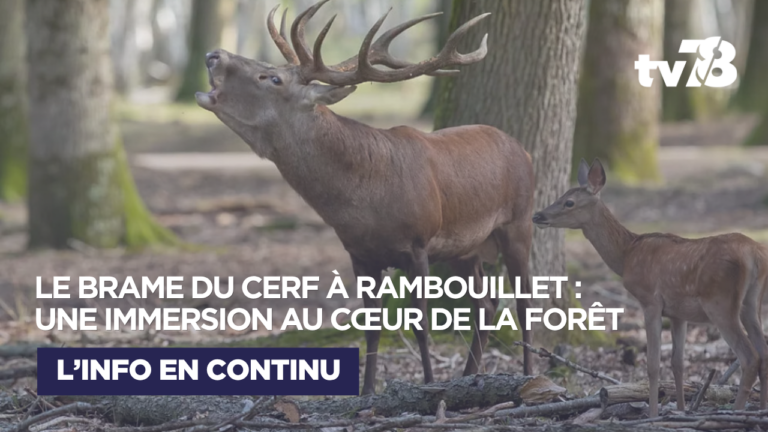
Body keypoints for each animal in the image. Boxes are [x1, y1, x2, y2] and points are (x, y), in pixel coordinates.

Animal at [194, 0, 535, 395]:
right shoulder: (359, 254)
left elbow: (420, 324)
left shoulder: (418, 243)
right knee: (487, 304)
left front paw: (429, 387)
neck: (361, 206)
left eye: (273, 78)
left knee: (524, 303)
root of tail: (524, 151)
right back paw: (469, 377)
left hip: (519, 223)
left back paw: (528, 375)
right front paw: (367, 392)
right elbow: (371, 327)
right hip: (466, 250)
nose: (213, 55)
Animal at [533, 158, 768, 417]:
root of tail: (755, 254)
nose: (537, 215)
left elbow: (653, 364)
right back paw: (759, 410)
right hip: (751, 303)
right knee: (764, 352)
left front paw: (653, 414)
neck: (626, 255)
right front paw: (681, 410)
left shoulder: (650, 301)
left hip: (720, 302)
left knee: (750, 357)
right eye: (562, 195)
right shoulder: (678, 313)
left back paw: (736, 411)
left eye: (569, 202)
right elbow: (677, 362)